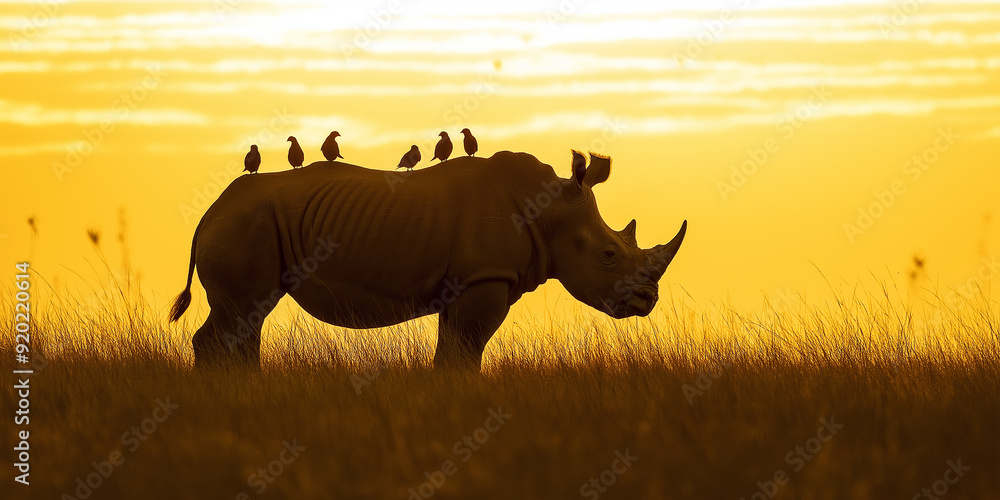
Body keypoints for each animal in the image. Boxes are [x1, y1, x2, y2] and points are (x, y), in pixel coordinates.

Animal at [169, 150, 686, 370]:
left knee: (249, 316)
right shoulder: (484, 278)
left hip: (252, 224)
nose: (647, 300)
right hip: (244, 223)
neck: (551, 211)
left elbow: (456, 349)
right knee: (240, 312)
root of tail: (208, 211)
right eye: (609, 255)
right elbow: (464, 350)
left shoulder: (469, 280)